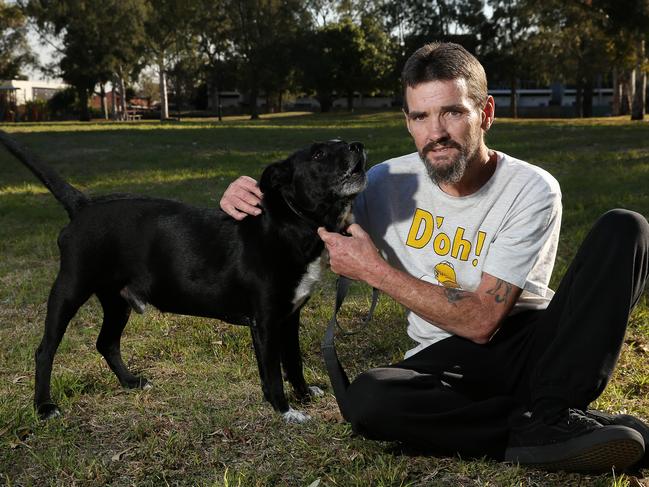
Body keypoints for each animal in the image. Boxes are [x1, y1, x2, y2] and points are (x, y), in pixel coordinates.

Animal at [0, 132, 364, 424]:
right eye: (318, 155)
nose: (357, 145)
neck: (292, 224)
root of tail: (83, 204)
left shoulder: (289, 317)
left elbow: (294, 361)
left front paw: (303, 395)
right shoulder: (266, 323)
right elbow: (273, 373)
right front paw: (285, 411)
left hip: (117, 301)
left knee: (106, 342)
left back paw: (130, 382)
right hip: (69, 290)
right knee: (45, 350)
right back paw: (44, 407)